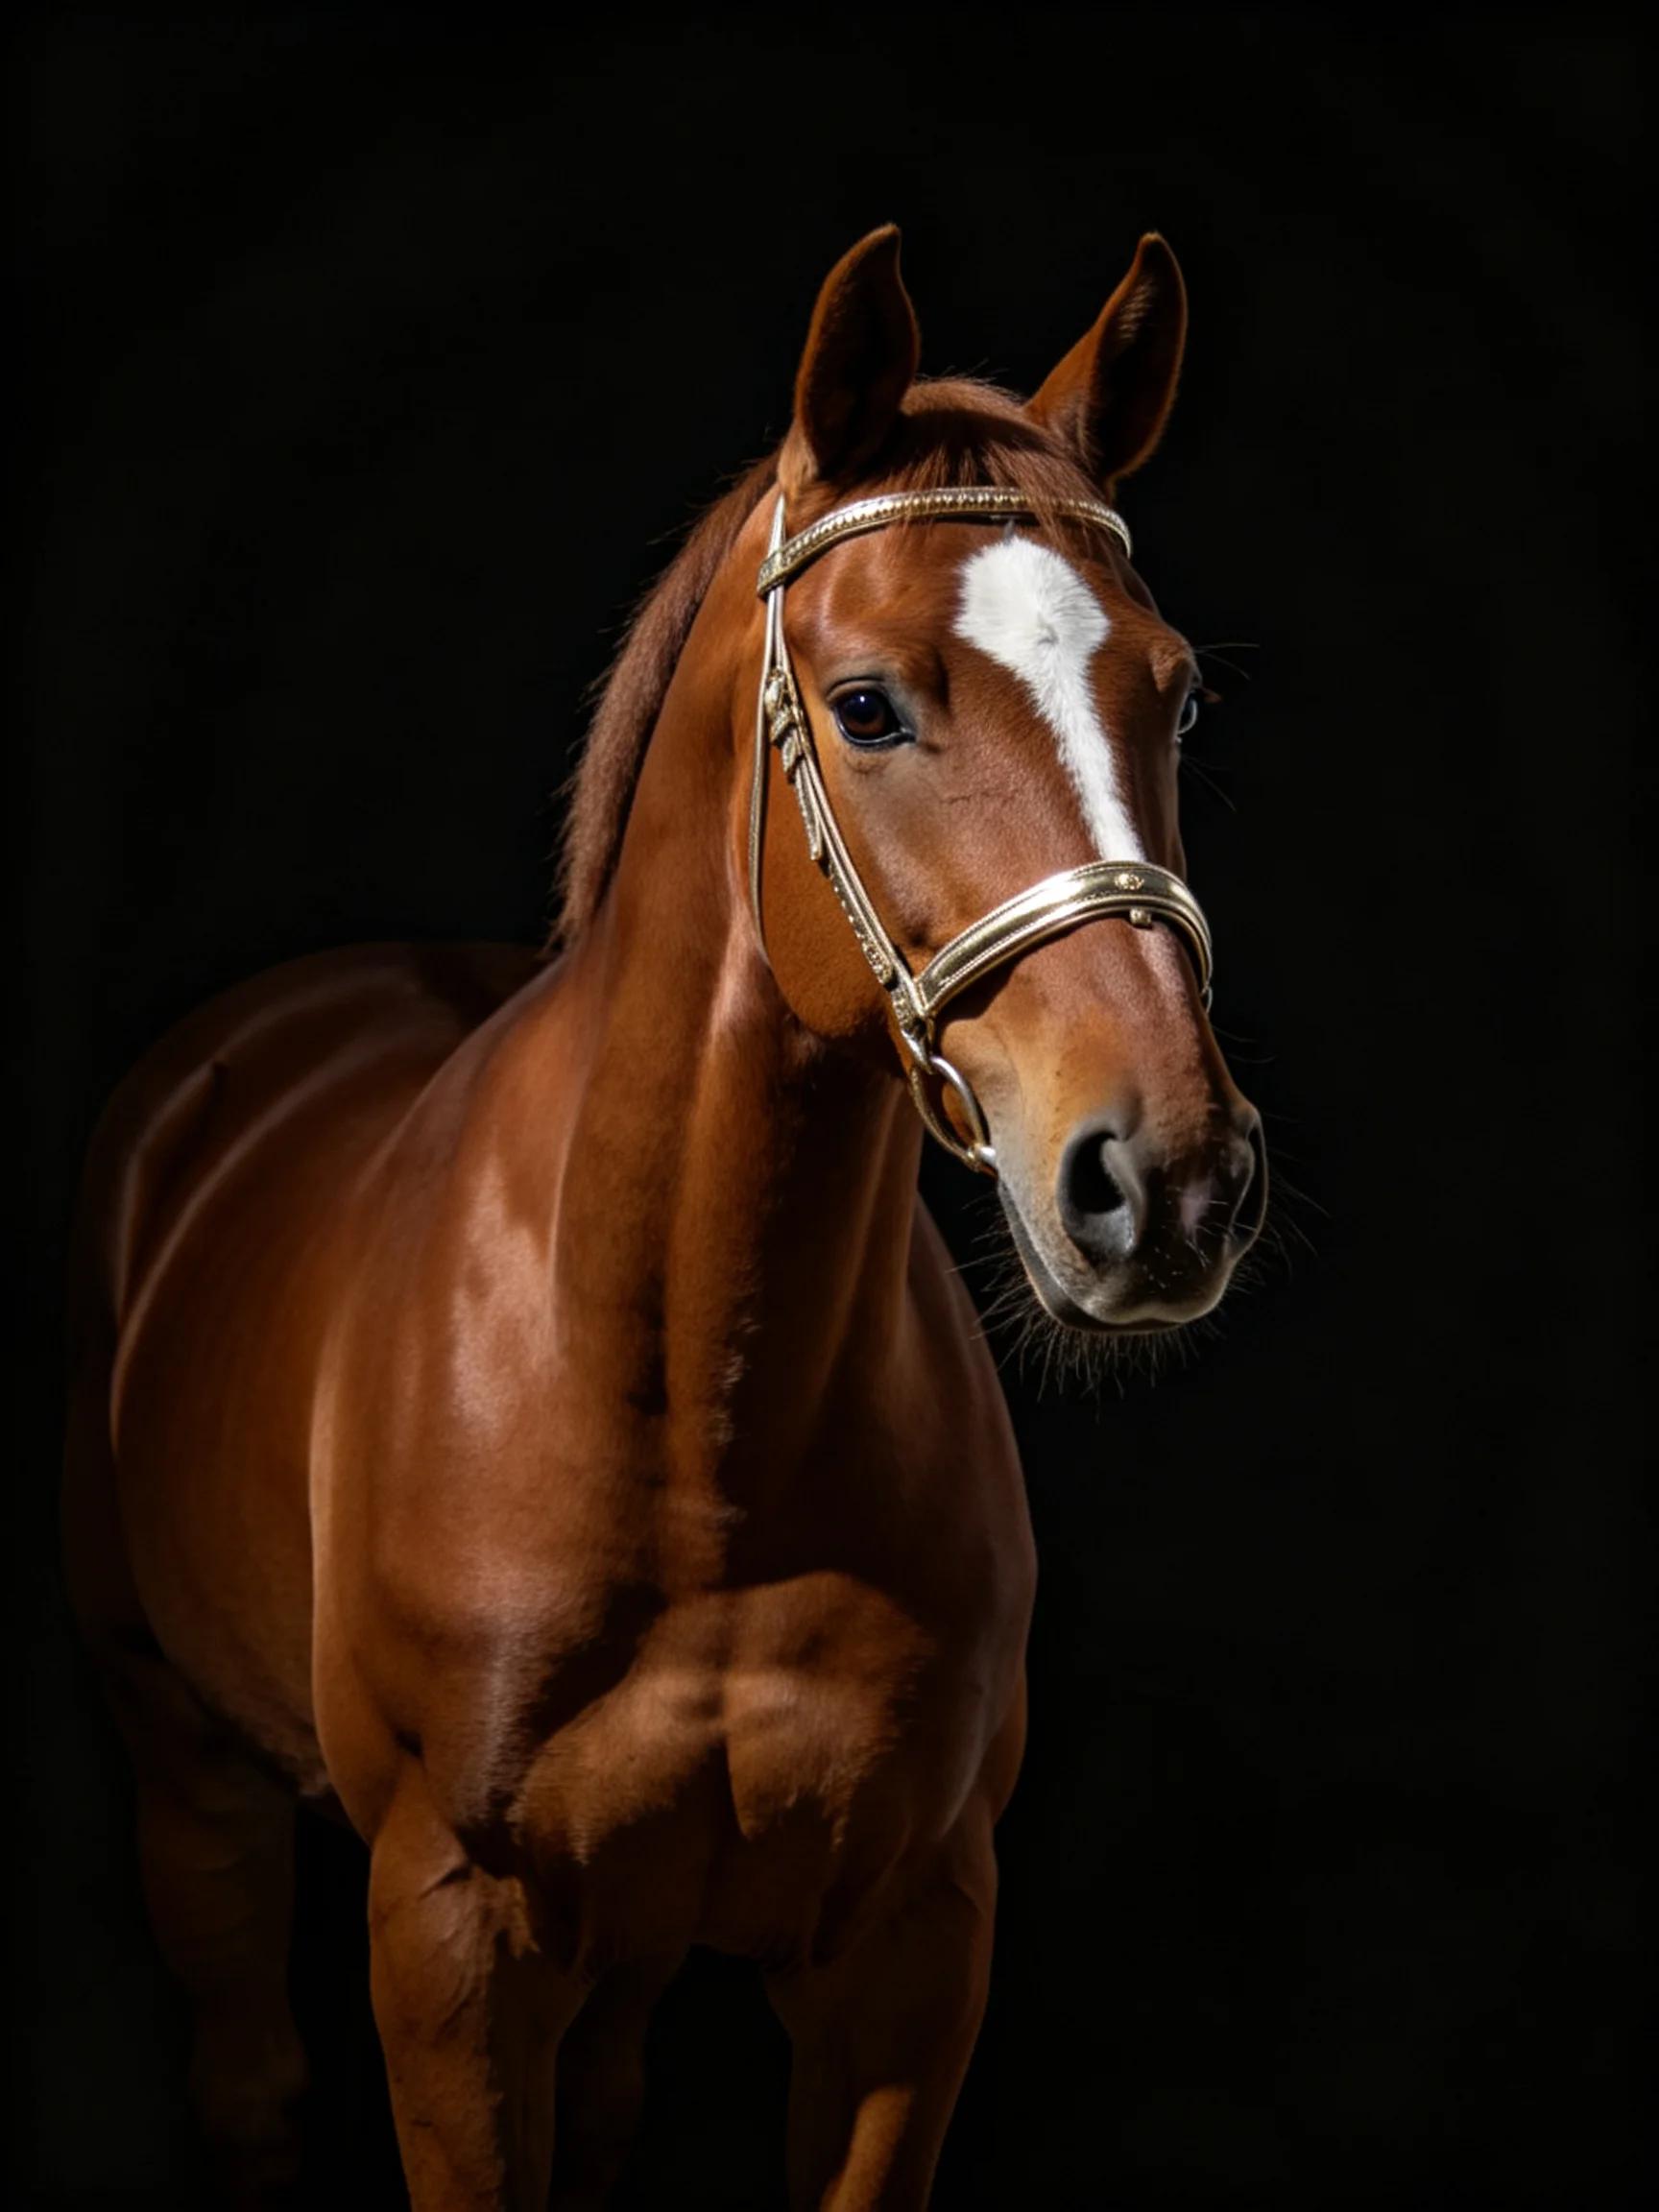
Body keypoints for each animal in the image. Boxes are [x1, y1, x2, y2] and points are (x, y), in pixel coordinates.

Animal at [62, 225, 1266, 2209]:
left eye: (1173, 693)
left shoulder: (906, 1949)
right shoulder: (450, 1945)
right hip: (189, 1776)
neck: (694, 1405)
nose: (1163, 1177)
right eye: (867, 704)